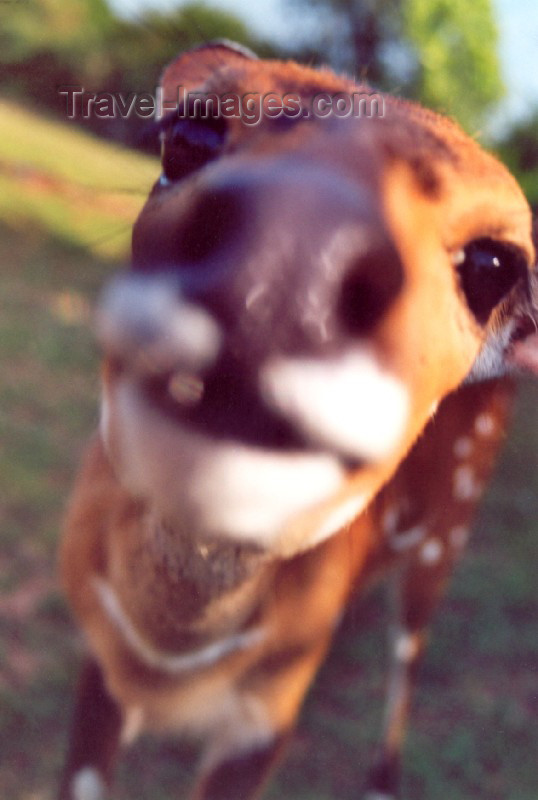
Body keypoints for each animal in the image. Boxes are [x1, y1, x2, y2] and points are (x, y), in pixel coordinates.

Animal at [57, 40, 536, 800]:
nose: (290, 254)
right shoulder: (100, 664)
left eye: (494, 263)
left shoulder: (268, 716)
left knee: (411, 647)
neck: (165, 666)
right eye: (187, 136)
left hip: (446, 540)